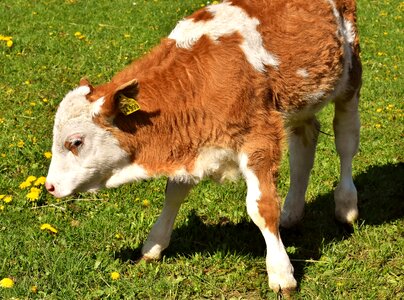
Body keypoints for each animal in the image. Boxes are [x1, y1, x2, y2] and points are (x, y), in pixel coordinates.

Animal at [45, 0, 362, 294]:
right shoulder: (190, 147)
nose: (49, 186)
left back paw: (346, 206)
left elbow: (261, 208)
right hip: (300, 102)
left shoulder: (259, 138)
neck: (198, 80)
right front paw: (153, 245)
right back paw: (292, 213)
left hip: (350, 79)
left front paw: (281, 273)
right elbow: (173, 195)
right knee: (303, 148)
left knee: (345, 143)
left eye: (75, 142)